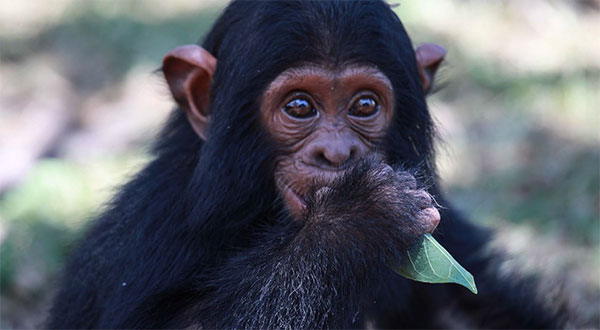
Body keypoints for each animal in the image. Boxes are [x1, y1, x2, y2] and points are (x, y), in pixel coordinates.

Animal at [45, 1, 564, 328]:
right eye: (299, 107)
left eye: (364, 105)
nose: (335, 152)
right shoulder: (146, 235)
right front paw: (354, 221)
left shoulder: (444, 221)